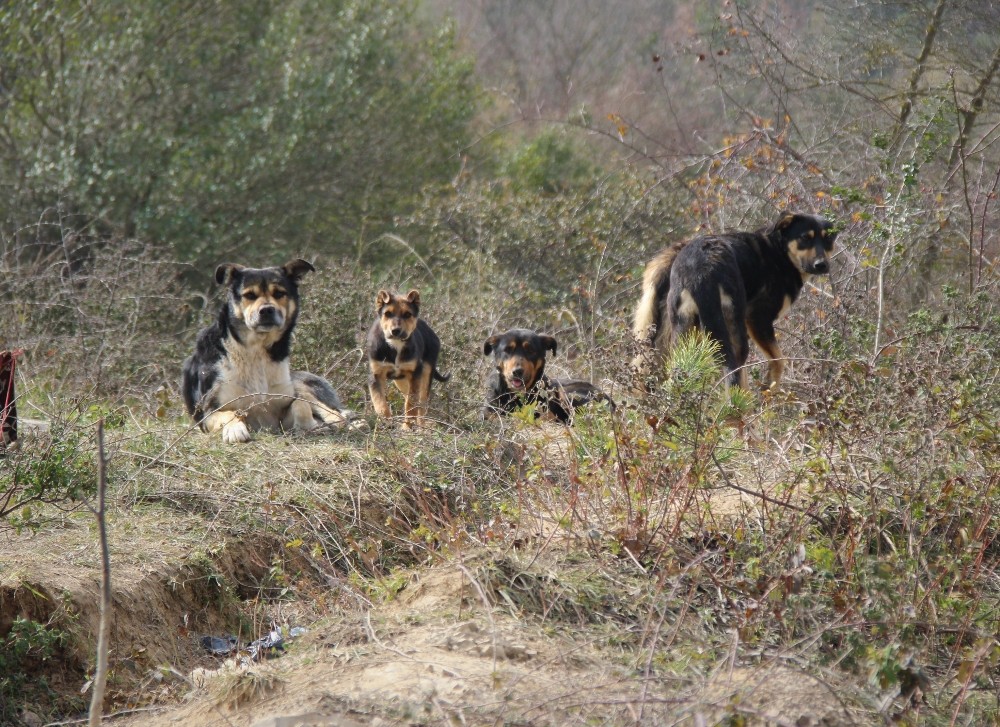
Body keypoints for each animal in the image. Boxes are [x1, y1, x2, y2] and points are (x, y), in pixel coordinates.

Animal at [182, 258, 358, 446]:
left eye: (279, 293)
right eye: (249, 295)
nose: (267, 310)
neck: (255, 351)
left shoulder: (281, 412)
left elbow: (300, 406)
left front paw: (313, 426)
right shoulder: (207, 412)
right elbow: (229, 413)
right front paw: (235, 430)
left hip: (299, 384)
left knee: (336, 414)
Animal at [364, 288, 450, 430]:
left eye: (407, 314)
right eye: (387, 313)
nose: (395, 331)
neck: (395, 345)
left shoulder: (415, 373)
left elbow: (411, 403)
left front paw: (407, 426)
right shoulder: (376, 374)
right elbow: (379, 401)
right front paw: (386, 421)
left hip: (426, 373)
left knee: (422, 403)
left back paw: (421, 427)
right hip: (401, 381)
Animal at [632, 212, 836, 390]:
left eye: (828, 239)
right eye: (805, 237)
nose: (821, 265)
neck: (779, 251)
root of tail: (700, 270)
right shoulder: (758, 319)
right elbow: (779, 361)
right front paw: (768, 390)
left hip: (683, 330)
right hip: (731, 331)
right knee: (733, 373)